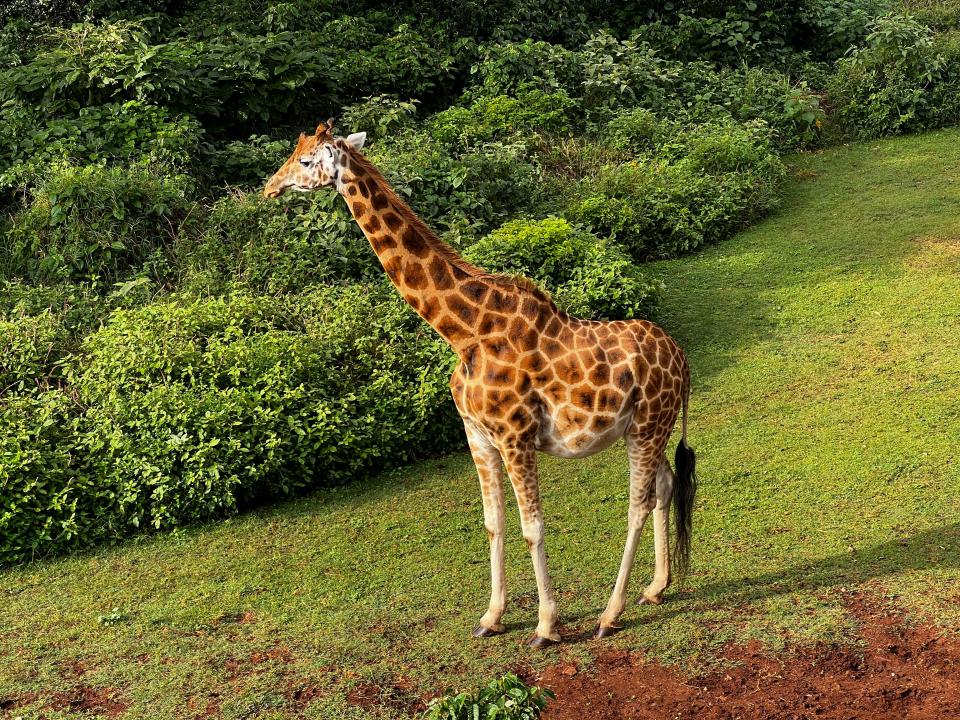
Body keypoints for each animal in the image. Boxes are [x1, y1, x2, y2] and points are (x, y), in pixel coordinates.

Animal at [262, 118, 696, 648]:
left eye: (305, 160)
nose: (269, 188)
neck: (462, 333)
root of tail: (681, 358)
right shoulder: (478, 435)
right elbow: (493, 523)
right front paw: (492, 617)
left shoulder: (515, 436)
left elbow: (533, 528)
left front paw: (546, 626)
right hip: (646, 427)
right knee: (665, 486)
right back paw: (656, 588)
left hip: (649, 425)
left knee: (637, 504)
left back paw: (610, 615)